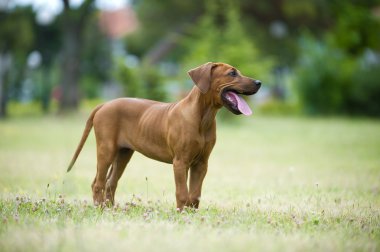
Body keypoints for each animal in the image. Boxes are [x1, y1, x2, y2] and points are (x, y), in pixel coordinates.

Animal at [67, 62, 260, 210]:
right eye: (232, 73)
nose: (259, 82)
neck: (203, 117)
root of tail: (104, 104)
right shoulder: (180, 162)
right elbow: (182, 193)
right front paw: (181, 214)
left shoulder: (201, 164)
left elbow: (195, 195)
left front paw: (192, 216)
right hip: (106, 150)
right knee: (98, 183)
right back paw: (100, 209)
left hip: (122, 154)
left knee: (110, 183)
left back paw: (110, 208)